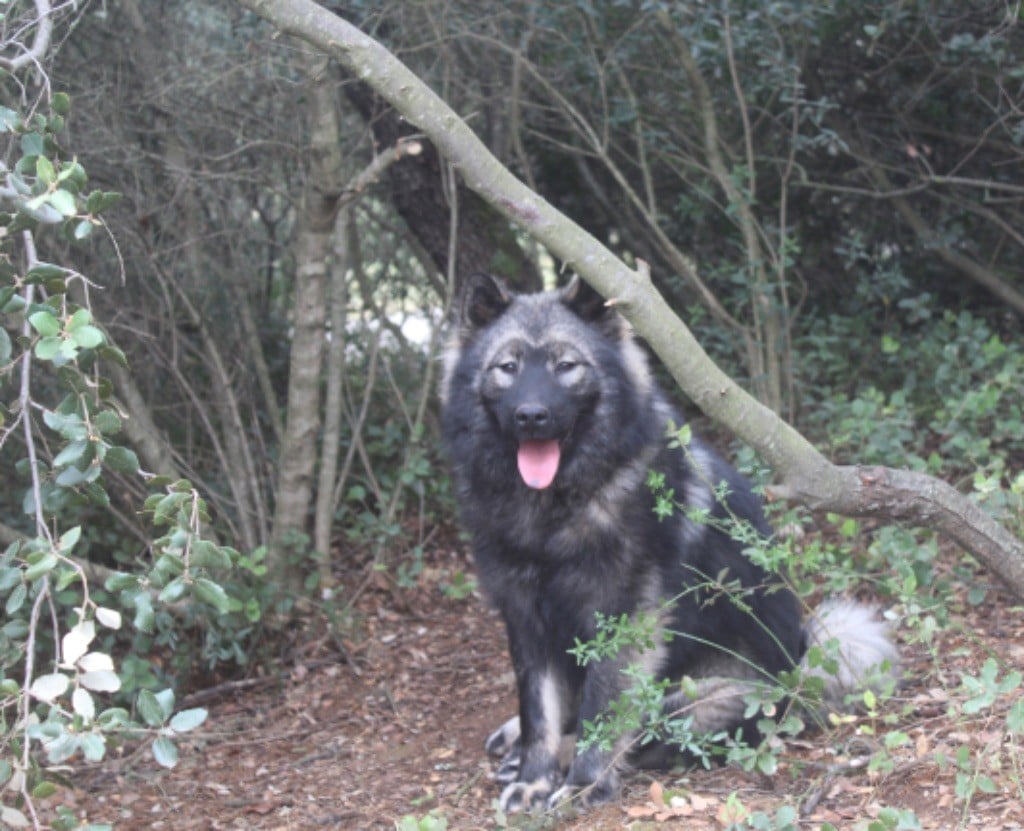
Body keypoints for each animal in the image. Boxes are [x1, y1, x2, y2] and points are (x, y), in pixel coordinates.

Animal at [440, 273, 897, 812]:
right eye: (507, 368)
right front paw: (534, 776)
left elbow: (601, 713)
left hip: (704, 697)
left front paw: (581, 783)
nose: (532, 415)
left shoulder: (621, 620)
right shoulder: (527, 618)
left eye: (565, 366)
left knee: (644, 731)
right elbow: (540, 712)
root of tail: (802, 667)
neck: (556, 509)